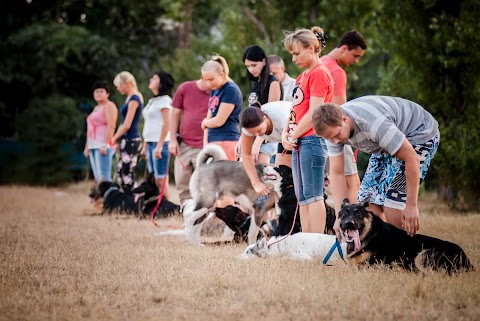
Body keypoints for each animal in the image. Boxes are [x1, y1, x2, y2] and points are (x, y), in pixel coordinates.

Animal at [336, 199, 474, 274]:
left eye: (358, 214)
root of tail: (467, 260)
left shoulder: (364, 267)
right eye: (344, 214)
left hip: (421, 256)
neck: (369, 234)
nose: (349, 223)